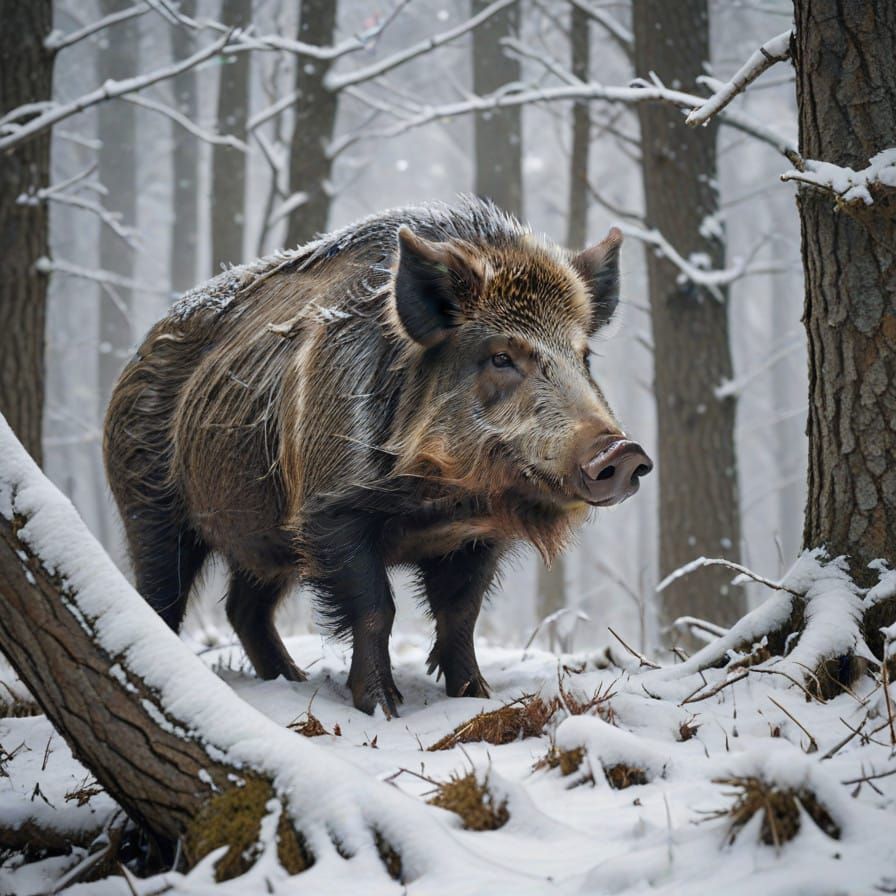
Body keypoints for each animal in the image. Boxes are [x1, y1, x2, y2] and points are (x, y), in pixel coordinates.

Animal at [104, 198, 652, 716]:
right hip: (148, 503)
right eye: (501, 356)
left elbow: (461, 614)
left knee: (245, 608)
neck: (441, 500)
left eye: (583, 357)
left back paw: (290, 679)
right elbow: (376, 609)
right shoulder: (328, 510)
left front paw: (475, 697)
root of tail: (135, 355)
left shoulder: (478, 537)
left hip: (262, 537)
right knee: (162, 595)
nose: (624, 450)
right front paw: (382, 707)